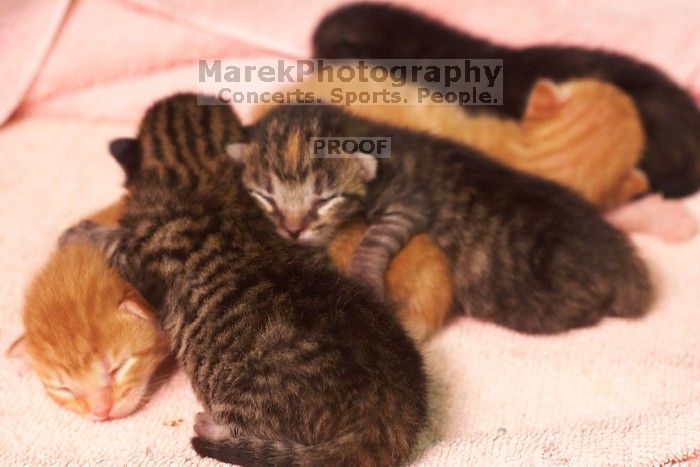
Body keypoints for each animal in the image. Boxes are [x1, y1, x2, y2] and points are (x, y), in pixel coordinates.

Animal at [58, 93, 426, 466]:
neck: (198, 171)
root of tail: (387, 415)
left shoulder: (137, 257)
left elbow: (112, 242)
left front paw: (78, 233)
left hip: (247, 398)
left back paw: (209, 424)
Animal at [230, 104, 652, 334]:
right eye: (266, 195)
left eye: (324, 199)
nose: (292, 229)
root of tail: (626, 261)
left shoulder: (410, 201)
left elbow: (377, 236)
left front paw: (365, 278)